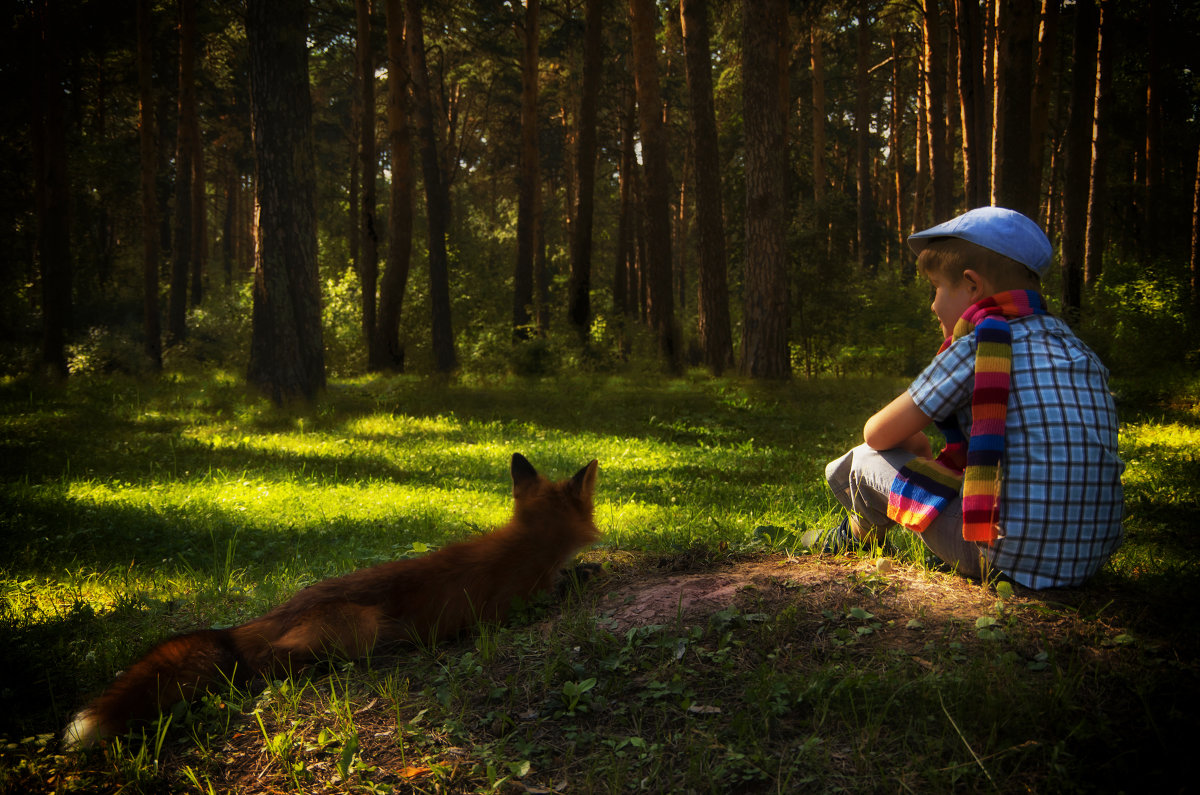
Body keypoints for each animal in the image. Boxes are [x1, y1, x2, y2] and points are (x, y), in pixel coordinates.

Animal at [63, 453, 600, 754]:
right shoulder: (522, 603)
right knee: (268, 666)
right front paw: (584, 572)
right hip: (359, 625)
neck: (527, 539)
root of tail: (255, 620)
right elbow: (564, 585)